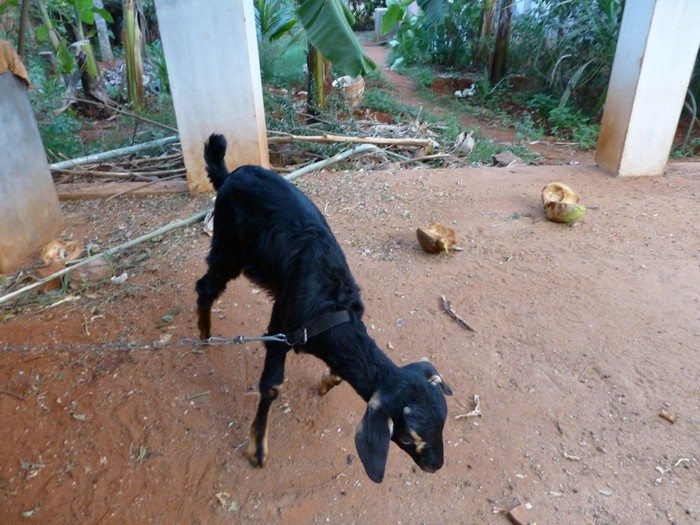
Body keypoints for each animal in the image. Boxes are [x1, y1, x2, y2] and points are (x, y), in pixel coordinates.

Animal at [196, 133, 454, 482]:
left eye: (442, 423)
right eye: (405, 437)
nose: (434, 465)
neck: (333, 311)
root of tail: (230, 175)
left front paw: (327, 382)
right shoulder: (280, 330)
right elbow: (271, 385)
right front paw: (257, 448)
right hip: (228, 247)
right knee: (206, 286)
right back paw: (204, 334)